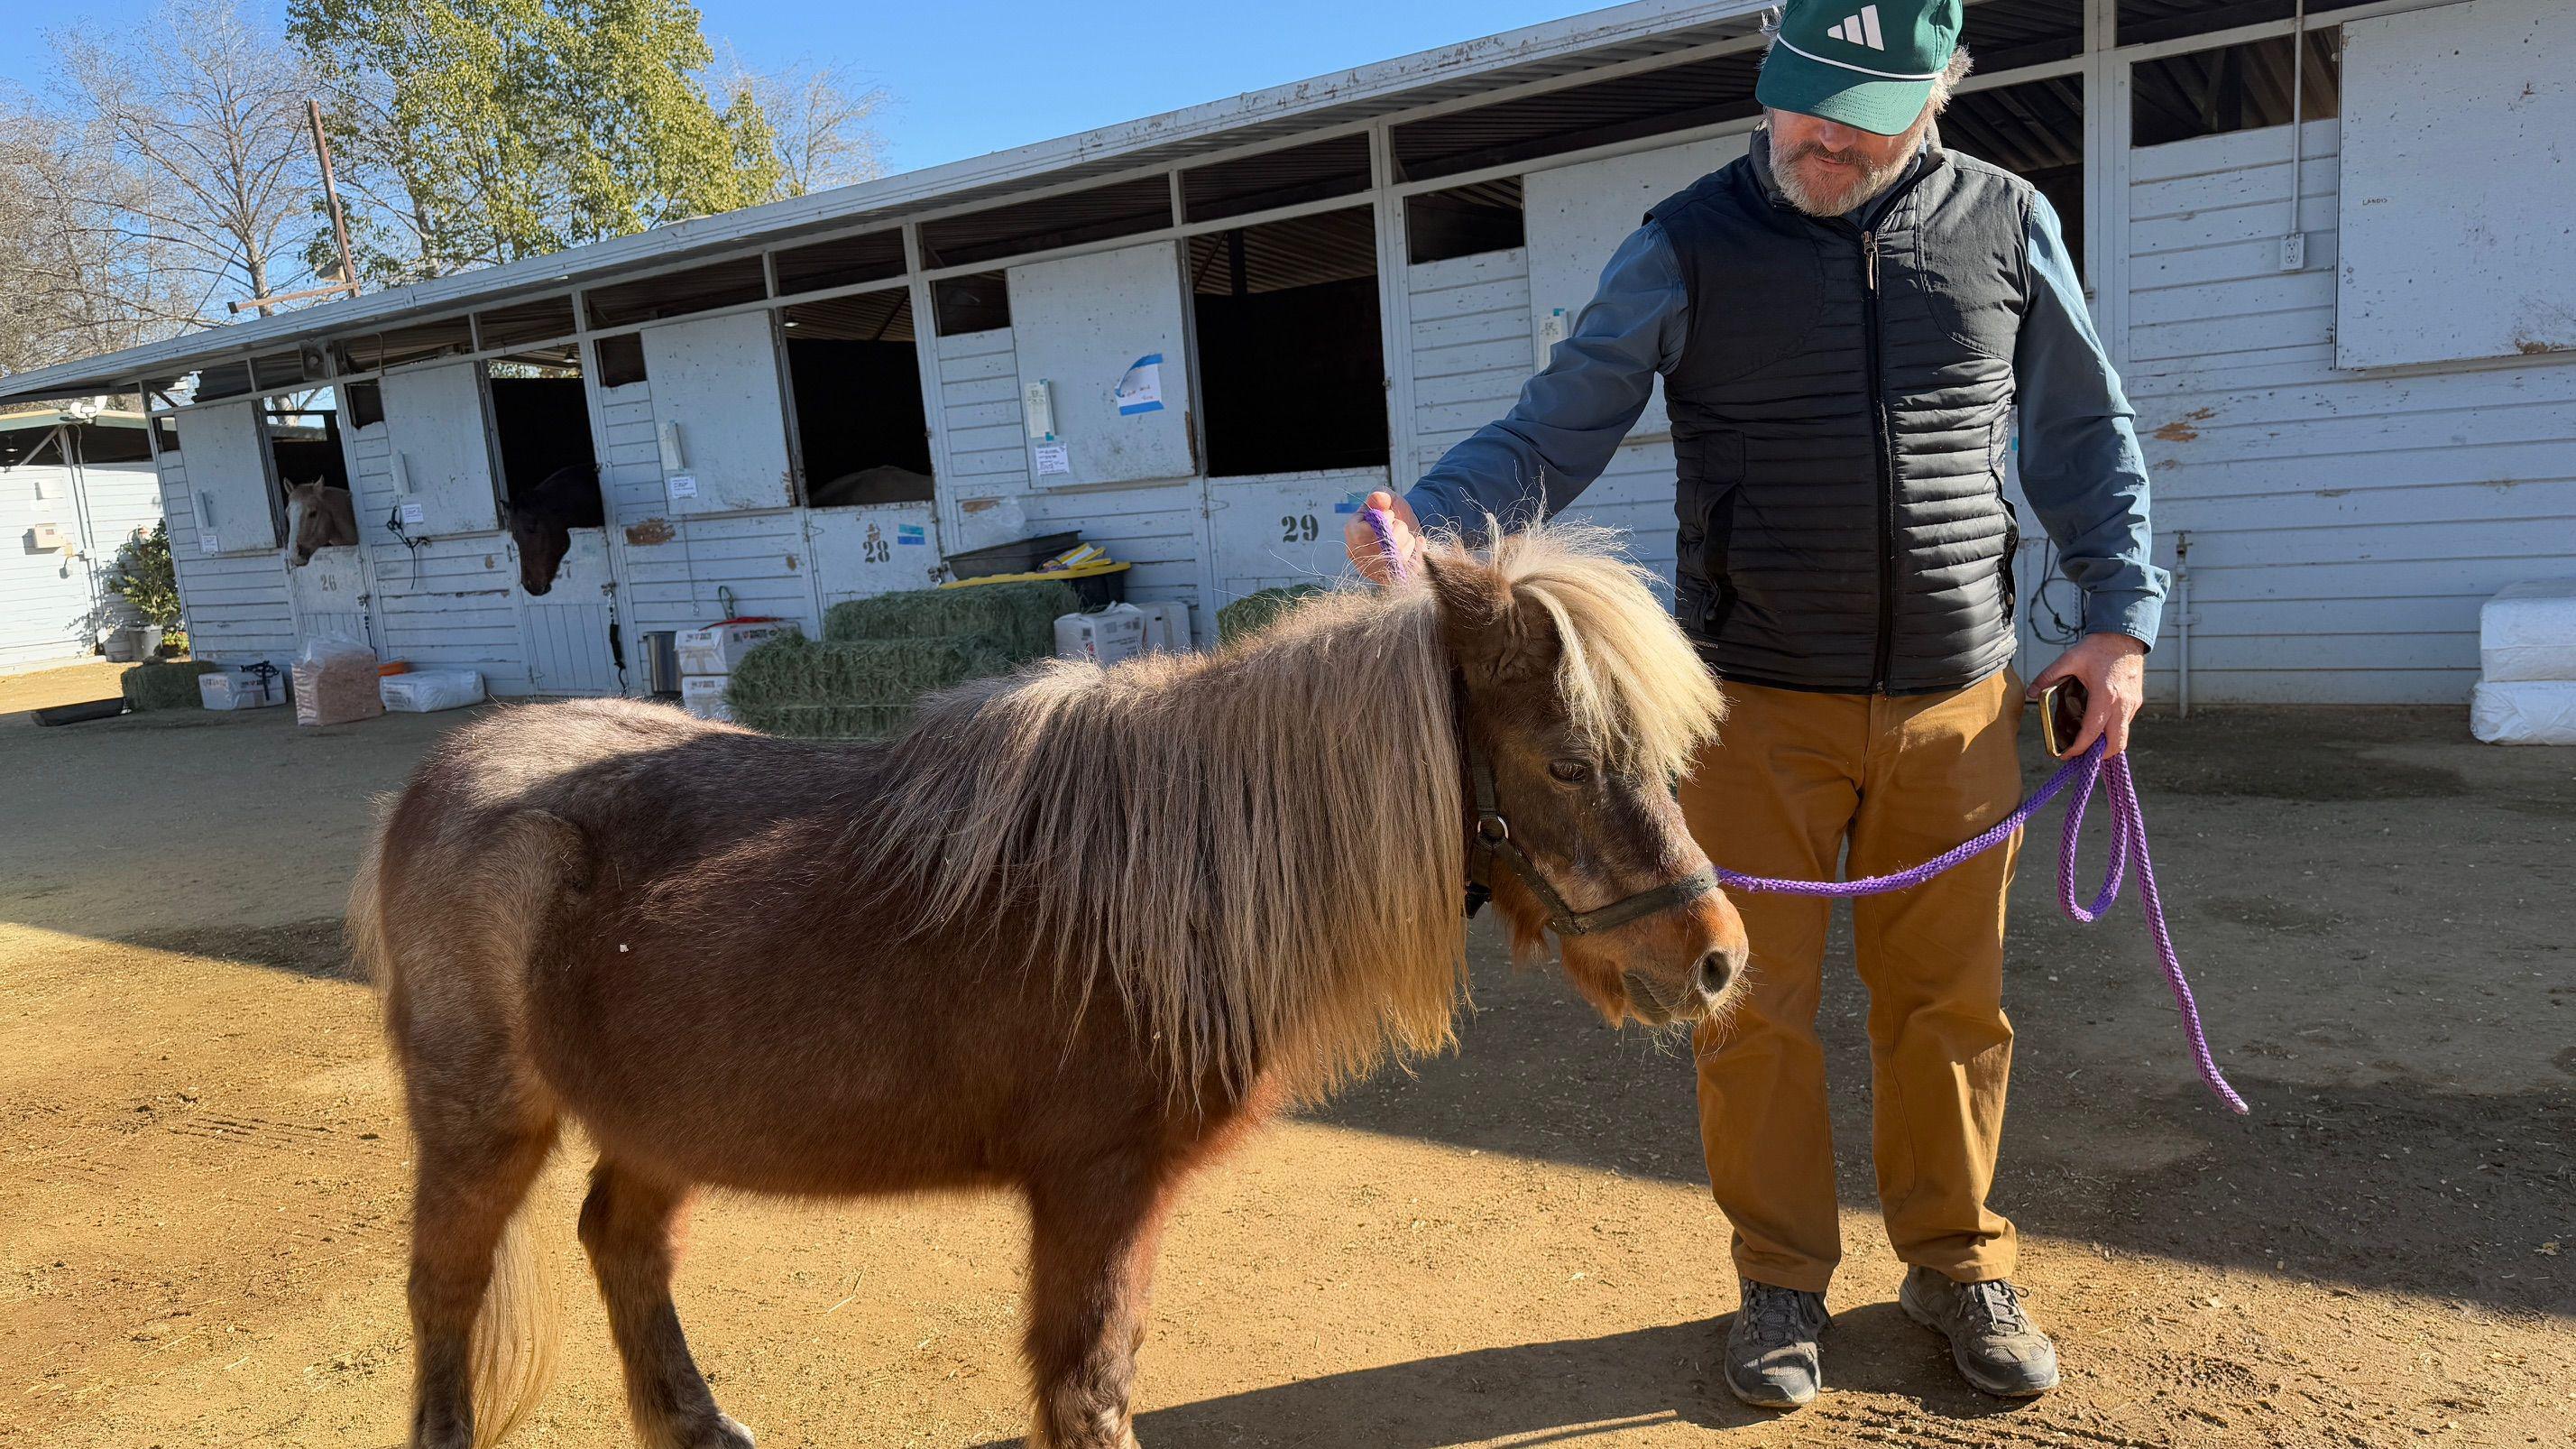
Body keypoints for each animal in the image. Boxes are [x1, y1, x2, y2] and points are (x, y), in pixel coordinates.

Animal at [353, 521, 1741, 1444]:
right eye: (1567, 762)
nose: (1716, 958)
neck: (1168, 872)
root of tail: (443, 776)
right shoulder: (1096, 1187)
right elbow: (1087, 1386)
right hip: (482, 1120)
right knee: (443, 1285)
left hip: (659, 1120)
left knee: (620, 1242)